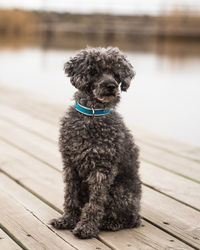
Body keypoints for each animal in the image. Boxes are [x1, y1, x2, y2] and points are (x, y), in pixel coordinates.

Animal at [50, 46, 141, 238]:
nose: (111, 86)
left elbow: (95, 203)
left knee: (131, 219)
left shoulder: (102, 170)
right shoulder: (70, 165)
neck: (92, 114)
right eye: (93, 71)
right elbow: (70, 197)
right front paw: (67, 220)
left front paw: (86, 227)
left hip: (120, 191)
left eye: (116, 74)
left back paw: (110, 223)